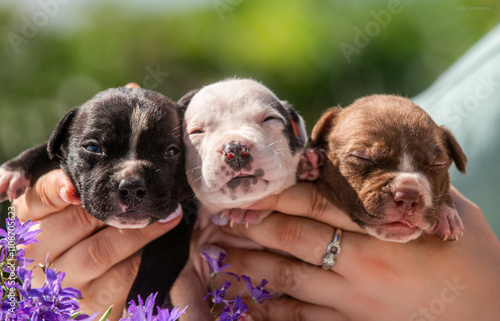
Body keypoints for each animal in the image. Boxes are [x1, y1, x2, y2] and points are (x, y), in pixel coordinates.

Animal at [0, 86, 193, 306]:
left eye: (171, 151)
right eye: (93, 148)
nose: (132, 187)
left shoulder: (175, 231)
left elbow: (155, 271)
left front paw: (140, 308)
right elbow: (47, 150)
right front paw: (14, 170)